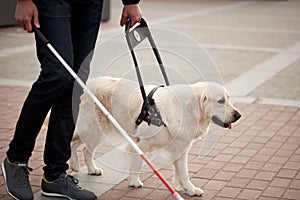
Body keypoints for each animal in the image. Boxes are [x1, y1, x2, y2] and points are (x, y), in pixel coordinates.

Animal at [69, 76, 240, 196]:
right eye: (220, 101)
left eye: (229, 99)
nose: (238, 115)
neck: (187, 110)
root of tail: (89, 82)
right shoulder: (141, 142)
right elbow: (137, 163)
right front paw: (134, 181)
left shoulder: (181, 148)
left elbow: (184, 173)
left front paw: (190, 189)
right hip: (92, 128)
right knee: (73, 142)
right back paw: (74, 165)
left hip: (99, 131)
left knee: (85, 149)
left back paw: (92, 169)